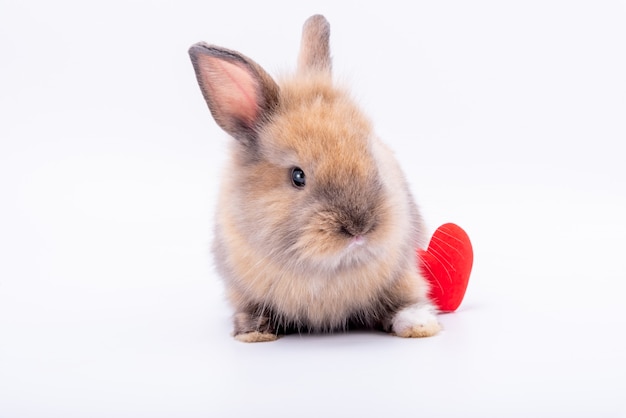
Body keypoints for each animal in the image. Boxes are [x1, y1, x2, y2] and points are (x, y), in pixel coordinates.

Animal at [189, 14, 438, 342]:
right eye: (298, 176)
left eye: (370, 149)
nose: (359, 228)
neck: (325, 270)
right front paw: (254, 333)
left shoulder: (402, 276)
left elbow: (404, 302)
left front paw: (420, 326)